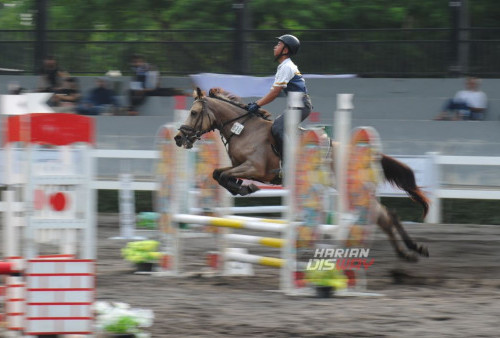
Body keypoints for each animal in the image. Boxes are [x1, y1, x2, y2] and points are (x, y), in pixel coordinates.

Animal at [176, 86, 430, 262]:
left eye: (194, 112)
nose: (178, 138)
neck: (244, 130)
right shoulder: (242, 167)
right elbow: (218, 174)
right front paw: (242, 186)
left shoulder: (255, 169)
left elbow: (221, 175)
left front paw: (245, 187)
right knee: (385, 216)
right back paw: (409, 252)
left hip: (350, 189)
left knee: (383, 215)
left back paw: (412, 249)